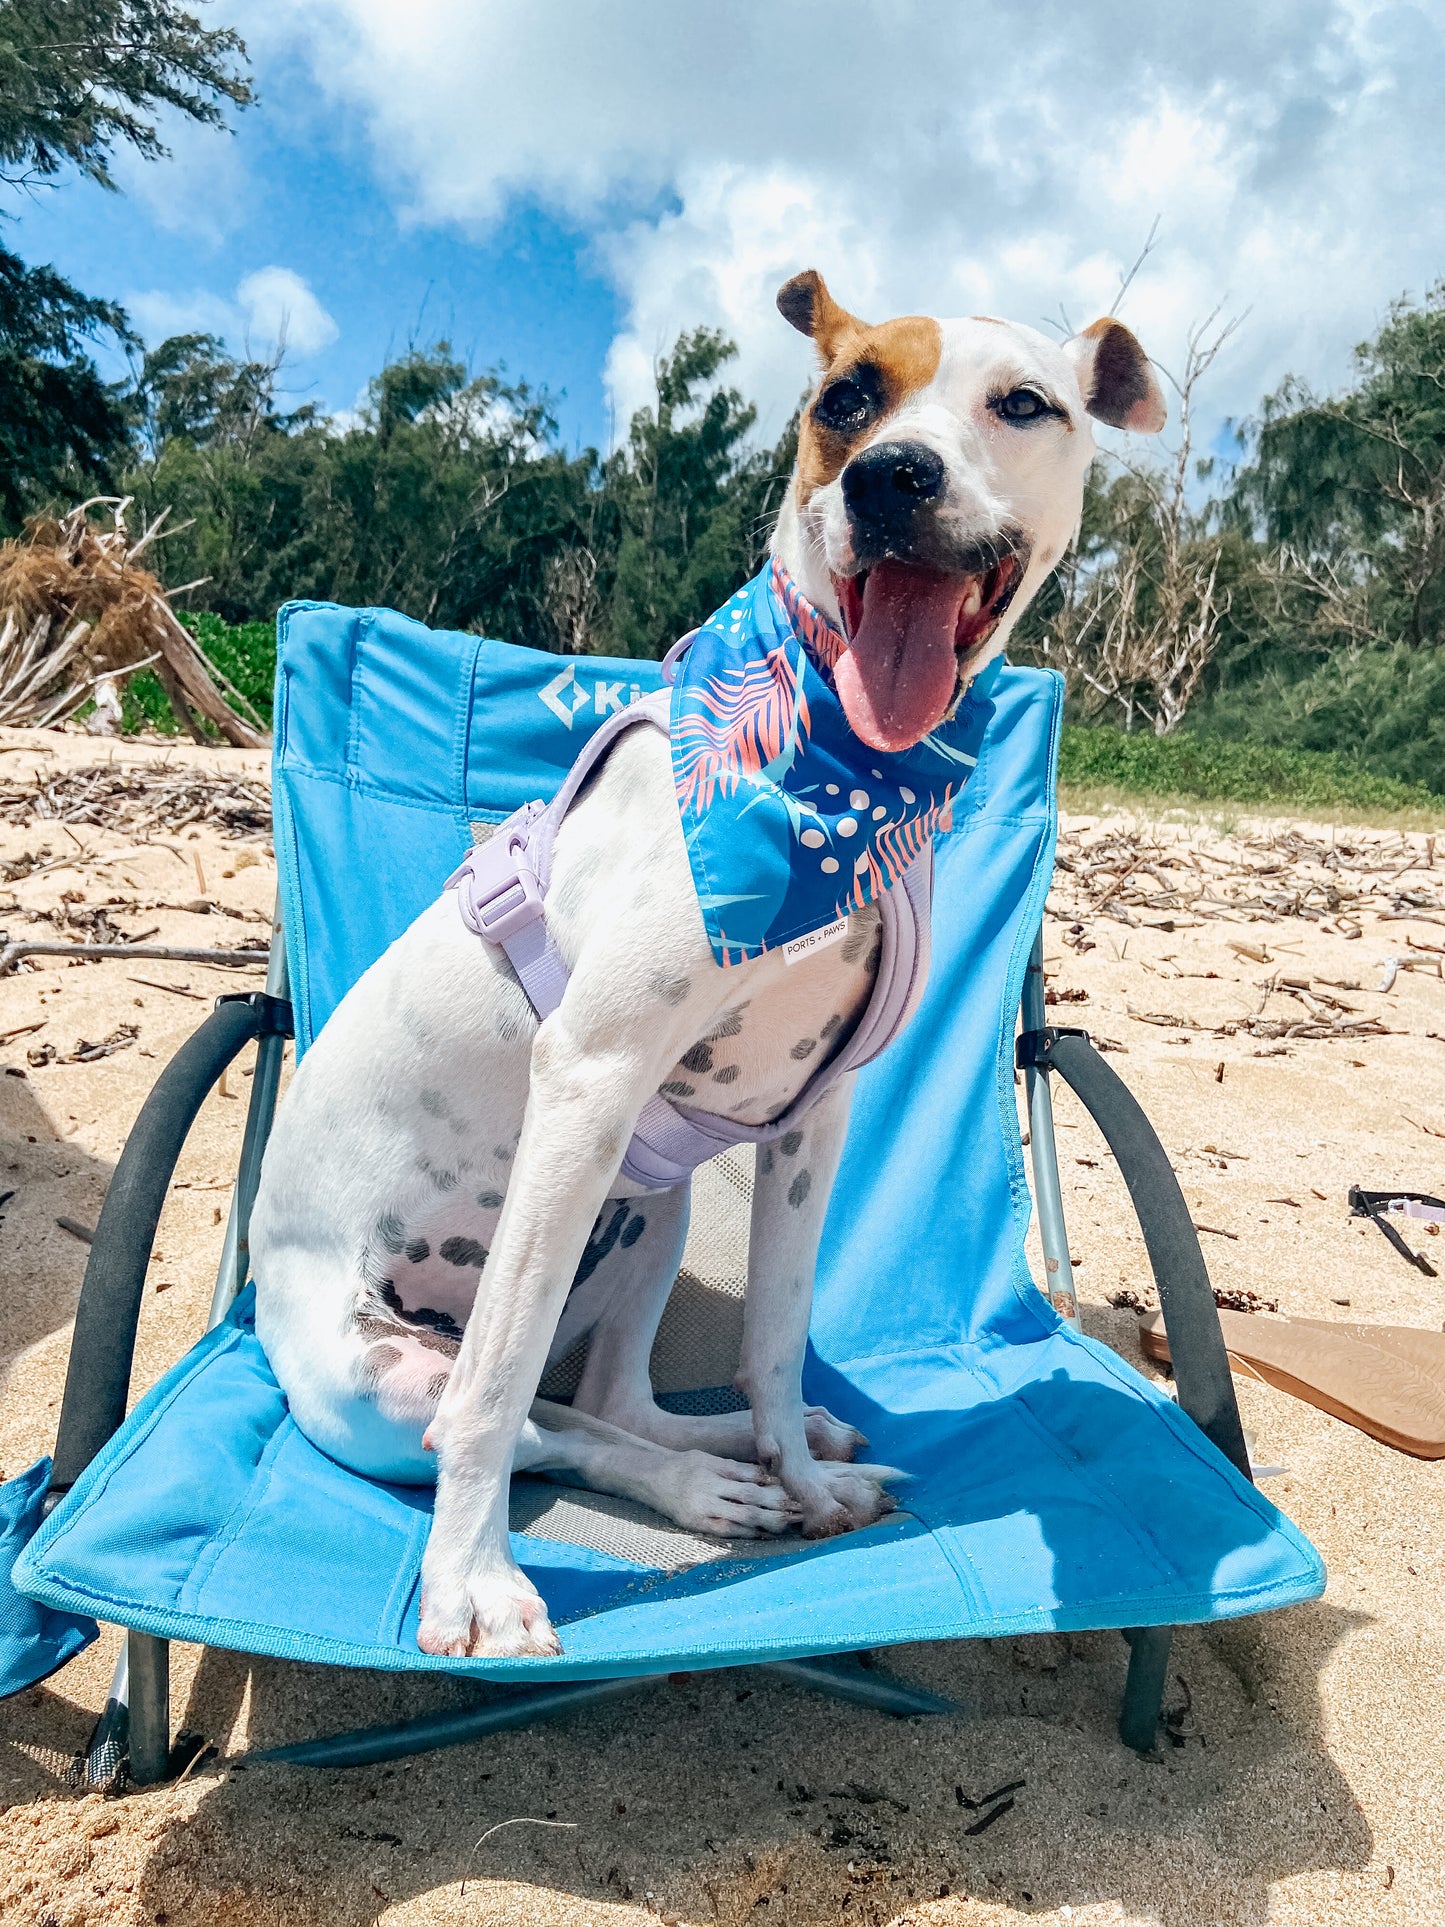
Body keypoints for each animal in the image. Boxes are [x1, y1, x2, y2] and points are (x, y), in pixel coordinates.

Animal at [254, 267, 1171, 1657]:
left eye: (1023, 404)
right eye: (844, 400)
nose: (890, 477)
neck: (835, 773)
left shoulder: (810, 1123)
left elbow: (779, 1340)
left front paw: (800, 1472)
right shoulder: (587, 1077)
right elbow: (499, 1399)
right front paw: (469, 1583)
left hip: (654, 1205)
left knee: (605, 1402)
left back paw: (728, 1461)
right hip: (388, 1374)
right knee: (518, 1415)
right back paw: (673, 1491)